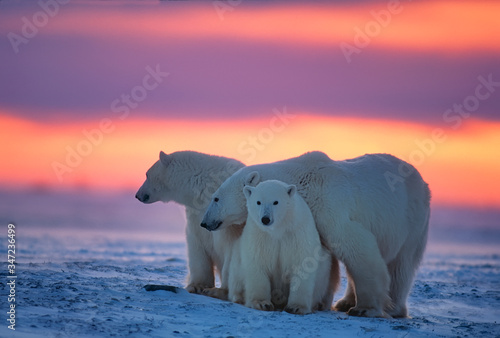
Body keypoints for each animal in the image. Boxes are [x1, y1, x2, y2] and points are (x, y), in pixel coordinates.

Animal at [136, 151, 245, 296]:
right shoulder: (196, 215)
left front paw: (220, 291)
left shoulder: (229, 217)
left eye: (147, 174)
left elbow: (232, 248)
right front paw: (197, 286)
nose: (137, 195)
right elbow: (197, 245)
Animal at [230, 180, 336, 314]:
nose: (265, 219)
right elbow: (258, 262)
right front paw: (262, 303)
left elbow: (303, 264)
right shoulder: (259, 235)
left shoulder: (297, 234)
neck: (279, 230)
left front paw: (296, 307)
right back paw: (238, 297)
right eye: (258, 202)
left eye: (275, 202)